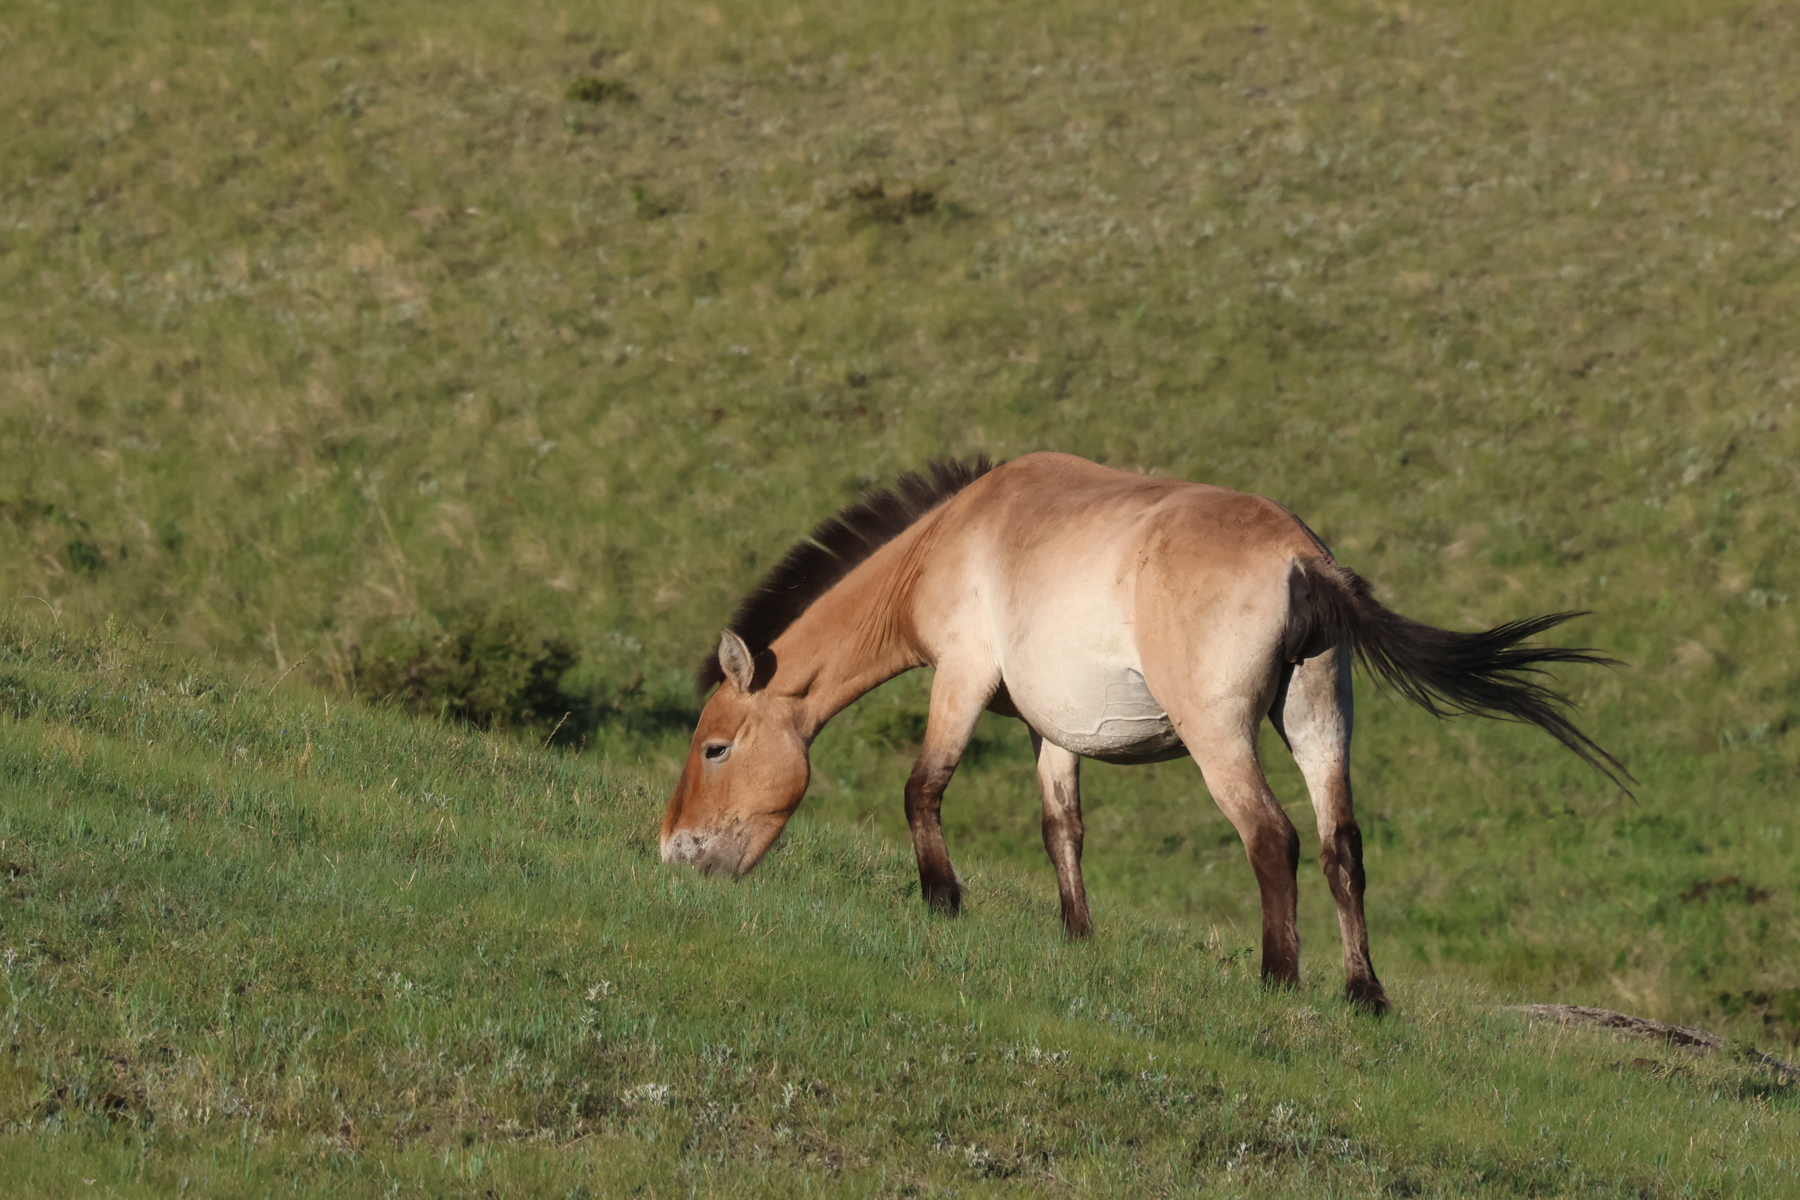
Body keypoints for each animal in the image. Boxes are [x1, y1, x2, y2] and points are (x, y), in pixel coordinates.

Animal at [659, 452, 1626, 1012]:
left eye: (715, 747)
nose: (676, 854)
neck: (951, 538)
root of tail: (1304, 560)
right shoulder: (1053, 728)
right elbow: (1062, 827)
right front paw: (1077, 935)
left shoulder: (961, 677)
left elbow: (922, 786)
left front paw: (943, 900)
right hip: (1317, 718)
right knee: (1339, 845)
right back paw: (1362, 994)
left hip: (1220, 734)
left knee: (1270, 837)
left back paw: (1279, 980)